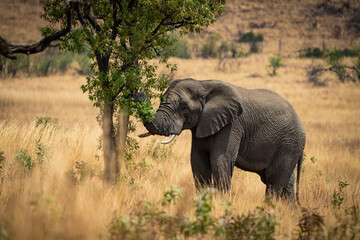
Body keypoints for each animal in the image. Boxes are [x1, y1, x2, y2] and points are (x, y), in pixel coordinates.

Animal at [138, 78, 304, 202]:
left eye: (184, 107)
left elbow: (220, 160)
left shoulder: (232, 125)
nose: (138, 92)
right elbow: (198, 161)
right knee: (286, 183)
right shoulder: (201, 125)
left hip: (289, 143)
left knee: (273, 181)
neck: (203, 84)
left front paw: (222, 204)